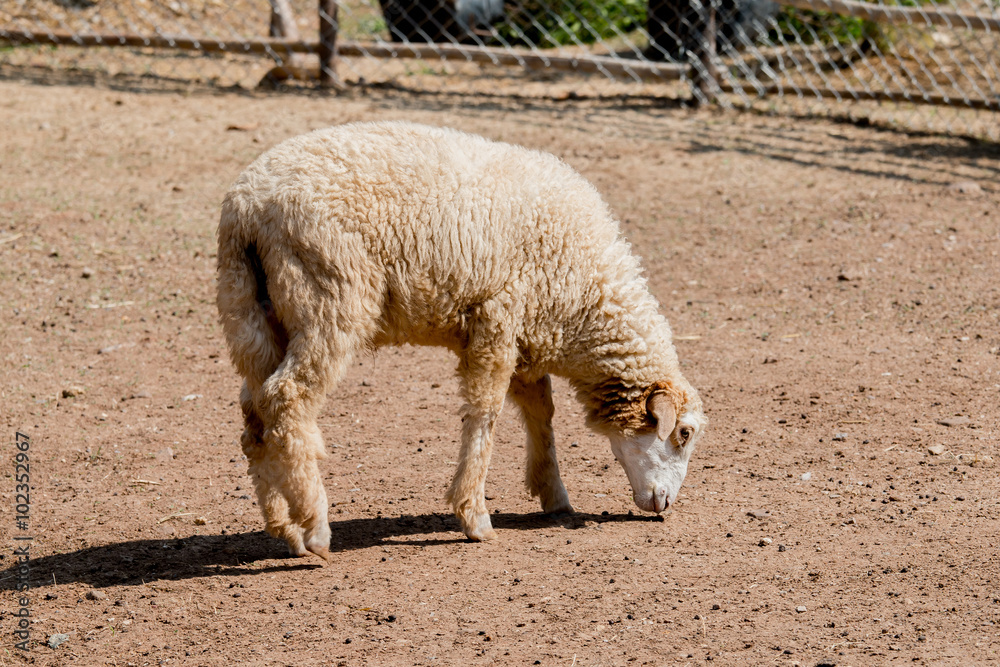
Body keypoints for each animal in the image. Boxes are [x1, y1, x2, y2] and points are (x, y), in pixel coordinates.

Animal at [215, 122, 708, 560]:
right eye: (683, 433)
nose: (664, 505)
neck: (584, 300)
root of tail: (249, 206)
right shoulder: (498, 320)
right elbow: (485, 415)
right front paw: (474, 516)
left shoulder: (527, 332)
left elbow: (541, 412)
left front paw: (553, 494)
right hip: (329, 298)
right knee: (287, 399)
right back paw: (315, 527)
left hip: (251, 311)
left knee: (256, 416)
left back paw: (284, 528)